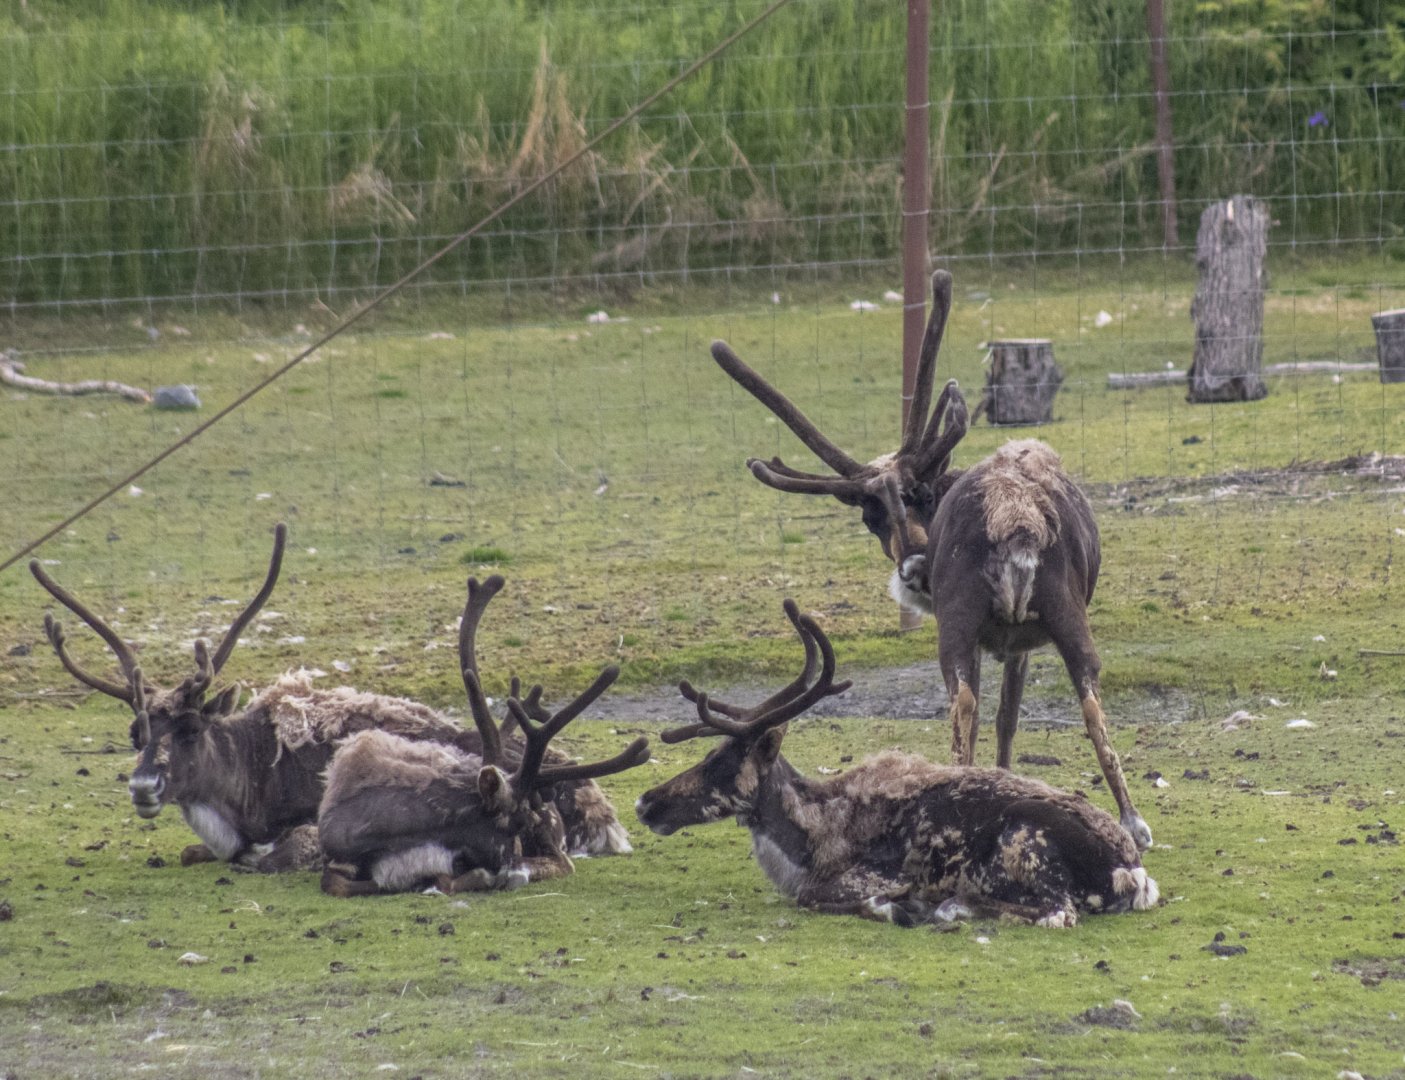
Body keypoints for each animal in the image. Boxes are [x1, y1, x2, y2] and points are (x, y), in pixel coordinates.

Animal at [317, 576, 651, 897]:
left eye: (526, 821)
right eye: (517, 821)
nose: (514, 866)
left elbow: (454, 879)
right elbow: (336, 883)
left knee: (560, 862)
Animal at [635, 601, 1158, 927]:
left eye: (720, 762)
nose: (645, 802)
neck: (809, 834)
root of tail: (1131, 872)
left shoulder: (874, 874)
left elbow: (817, 897)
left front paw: (900, 908)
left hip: (1026, 845)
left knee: (1057, 912)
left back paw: (947, 908)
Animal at [708, 269, 1152, 850]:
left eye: (917, 492)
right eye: (870, 515)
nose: (914, 567)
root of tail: (1012, 516)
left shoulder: (1012, 642)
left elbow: (1004, 717)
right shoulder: (1015, 640)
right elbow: (1008, 716)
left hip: (972, 619)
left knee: (968, 702)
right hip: (1060, 611)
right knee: (1086, 694)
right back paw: (1132, 821)